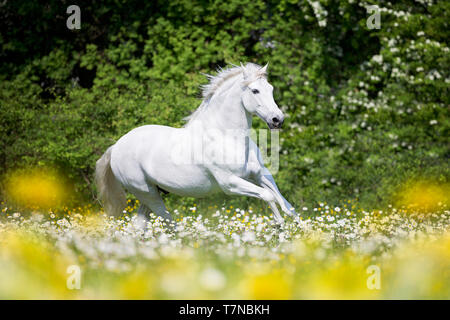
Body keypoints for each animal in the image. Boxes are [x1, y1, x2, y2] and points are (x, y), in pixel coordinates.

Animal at [96, 62, 296, 222]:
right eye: (255, 90)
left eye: (270, 88)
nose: (277, 119)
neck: (226, 136)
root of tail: (116, 147)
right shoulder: (230, 183)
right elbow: (268, 196)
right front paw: (279, 226)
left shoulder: (259, 173)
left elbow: (284, 202)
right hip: (147, 193)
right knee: (167, 222)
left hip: (151, 194)